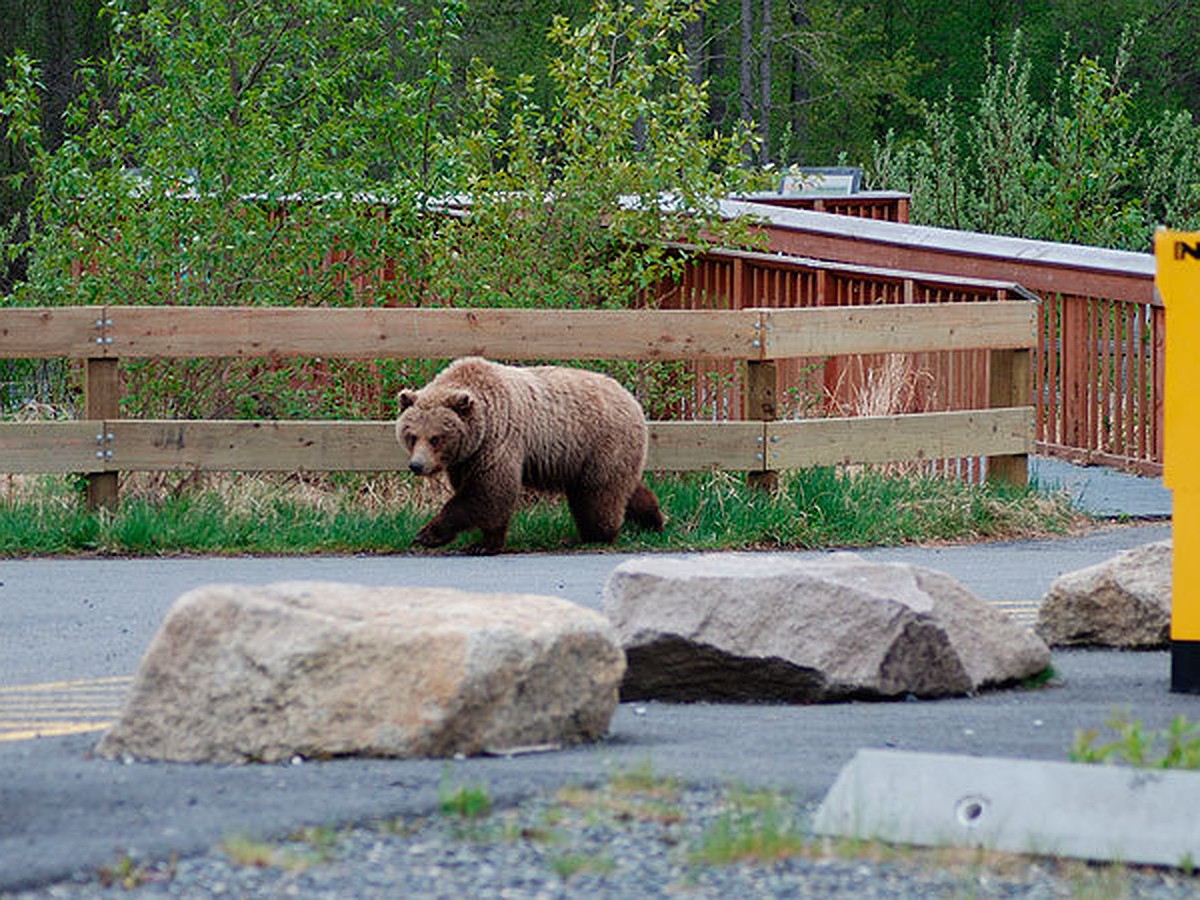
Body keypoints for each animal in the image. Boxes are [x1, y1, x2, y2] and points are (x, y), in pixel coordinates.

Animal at [396, 355, 667, 554]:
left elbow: (487, 492)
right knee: (625, 488)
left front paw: (431, 535)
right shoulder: (467, 458)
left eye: (435, 437)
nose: (417, 465)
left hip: (601, 444)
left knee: (598, 494)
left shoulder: (498, 442)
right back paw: (654, 520)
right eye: (412, 435)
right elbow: (482, 494)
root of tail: (631, 399)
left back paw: (595, 536)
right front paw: (486, 541)